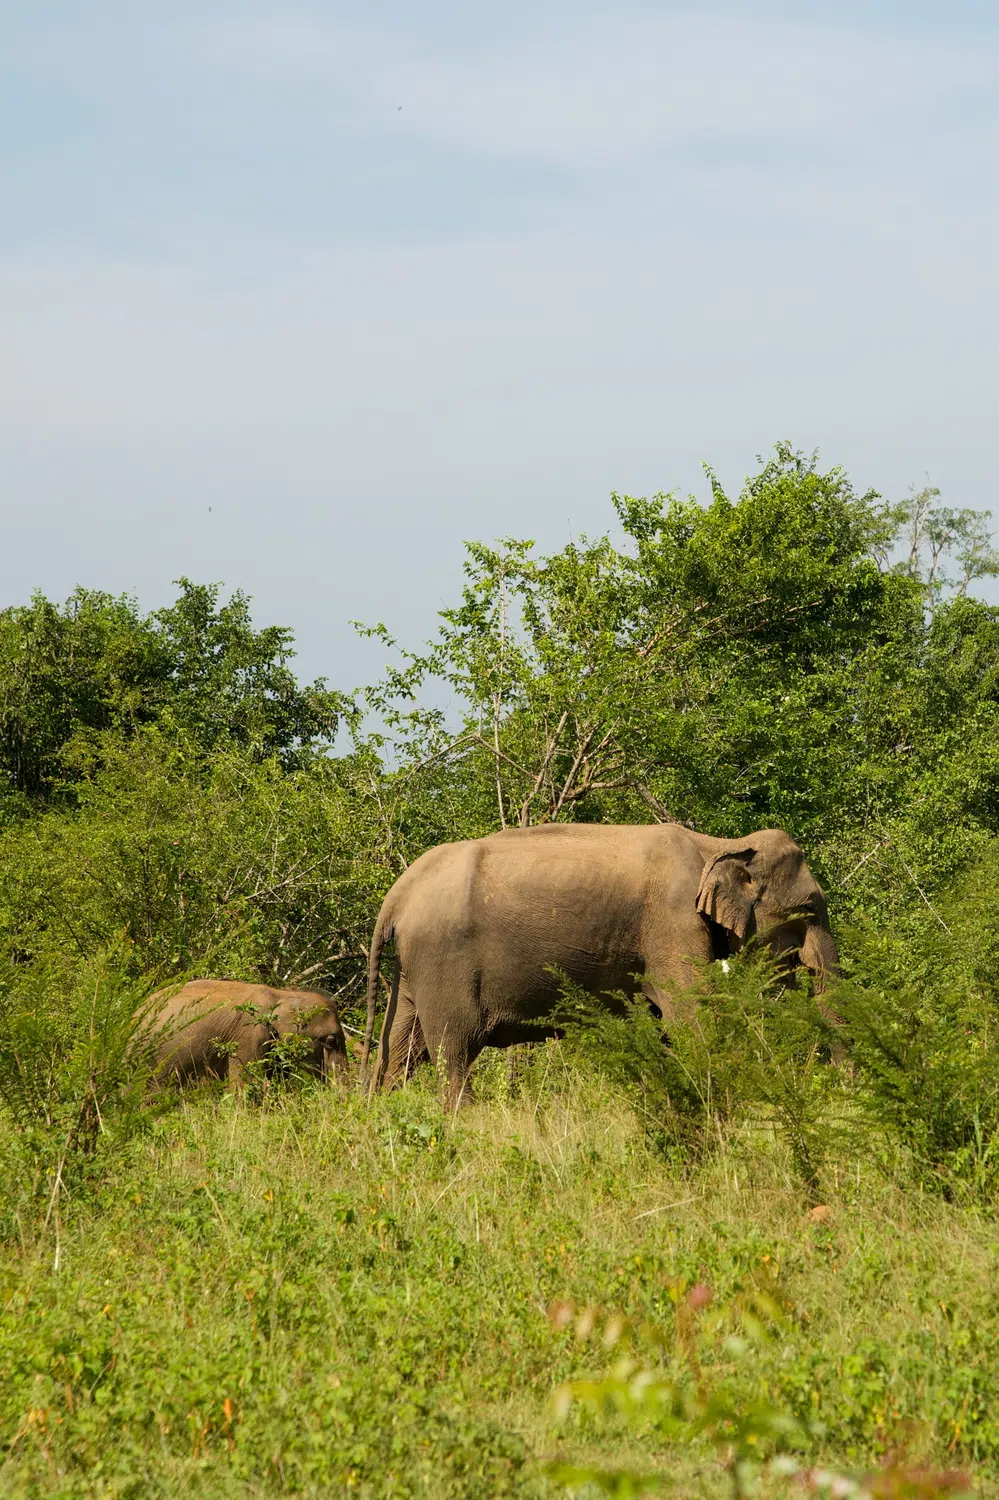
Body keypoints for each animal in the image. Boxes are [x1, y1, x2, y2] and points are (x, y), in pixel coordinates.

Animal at [361, 822, 838, 1108]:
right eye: (809, 910)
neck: (719, 845)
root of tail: (398, 893)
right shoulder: (673, 925)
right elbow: (690, 1016)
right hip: (442, 958)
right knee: (452, 1050)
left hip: (412, 967)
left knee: (401, 1047)